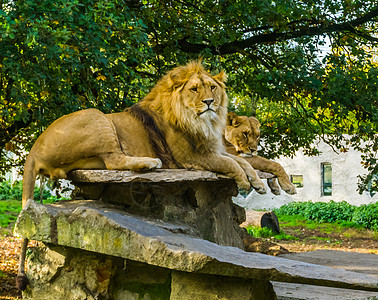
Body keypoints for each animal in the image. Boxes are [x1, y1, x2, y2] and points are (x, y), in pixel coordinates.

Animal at [17, 61, 266, 290]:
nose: (209, 102)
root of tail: (34, 148)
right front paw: (244, 181)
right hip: (98, 117)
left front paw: (258, 183)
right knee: (115, 160)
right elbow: (232, 163)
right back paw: (150, 163)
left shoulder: (214, 149)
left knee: (110, 163)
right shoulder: (194, 157)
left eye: (212, 87)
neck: (201, 122)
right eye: (194, 89)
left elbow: (243, 161)